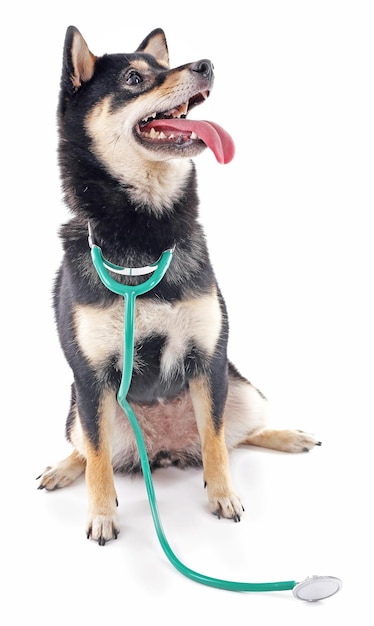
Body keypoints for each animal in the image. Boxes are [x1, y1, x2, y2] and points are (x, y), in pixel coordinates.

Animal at [36, 25, 320, 540]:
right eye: (133, 78)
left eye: (162, 67)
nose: (206, 65)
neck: (145, 236)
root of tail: (165, 450)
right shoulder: (90, 379)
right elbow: (99, 459)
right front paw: (102, 514)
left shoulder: (209, 359)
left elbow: (216, 440)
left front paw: (223, 494)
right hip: (75, 407)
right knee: (88, 449)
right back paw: (62, 468)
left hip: (241, 388)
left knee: (232, 436)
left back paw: (287, 437)